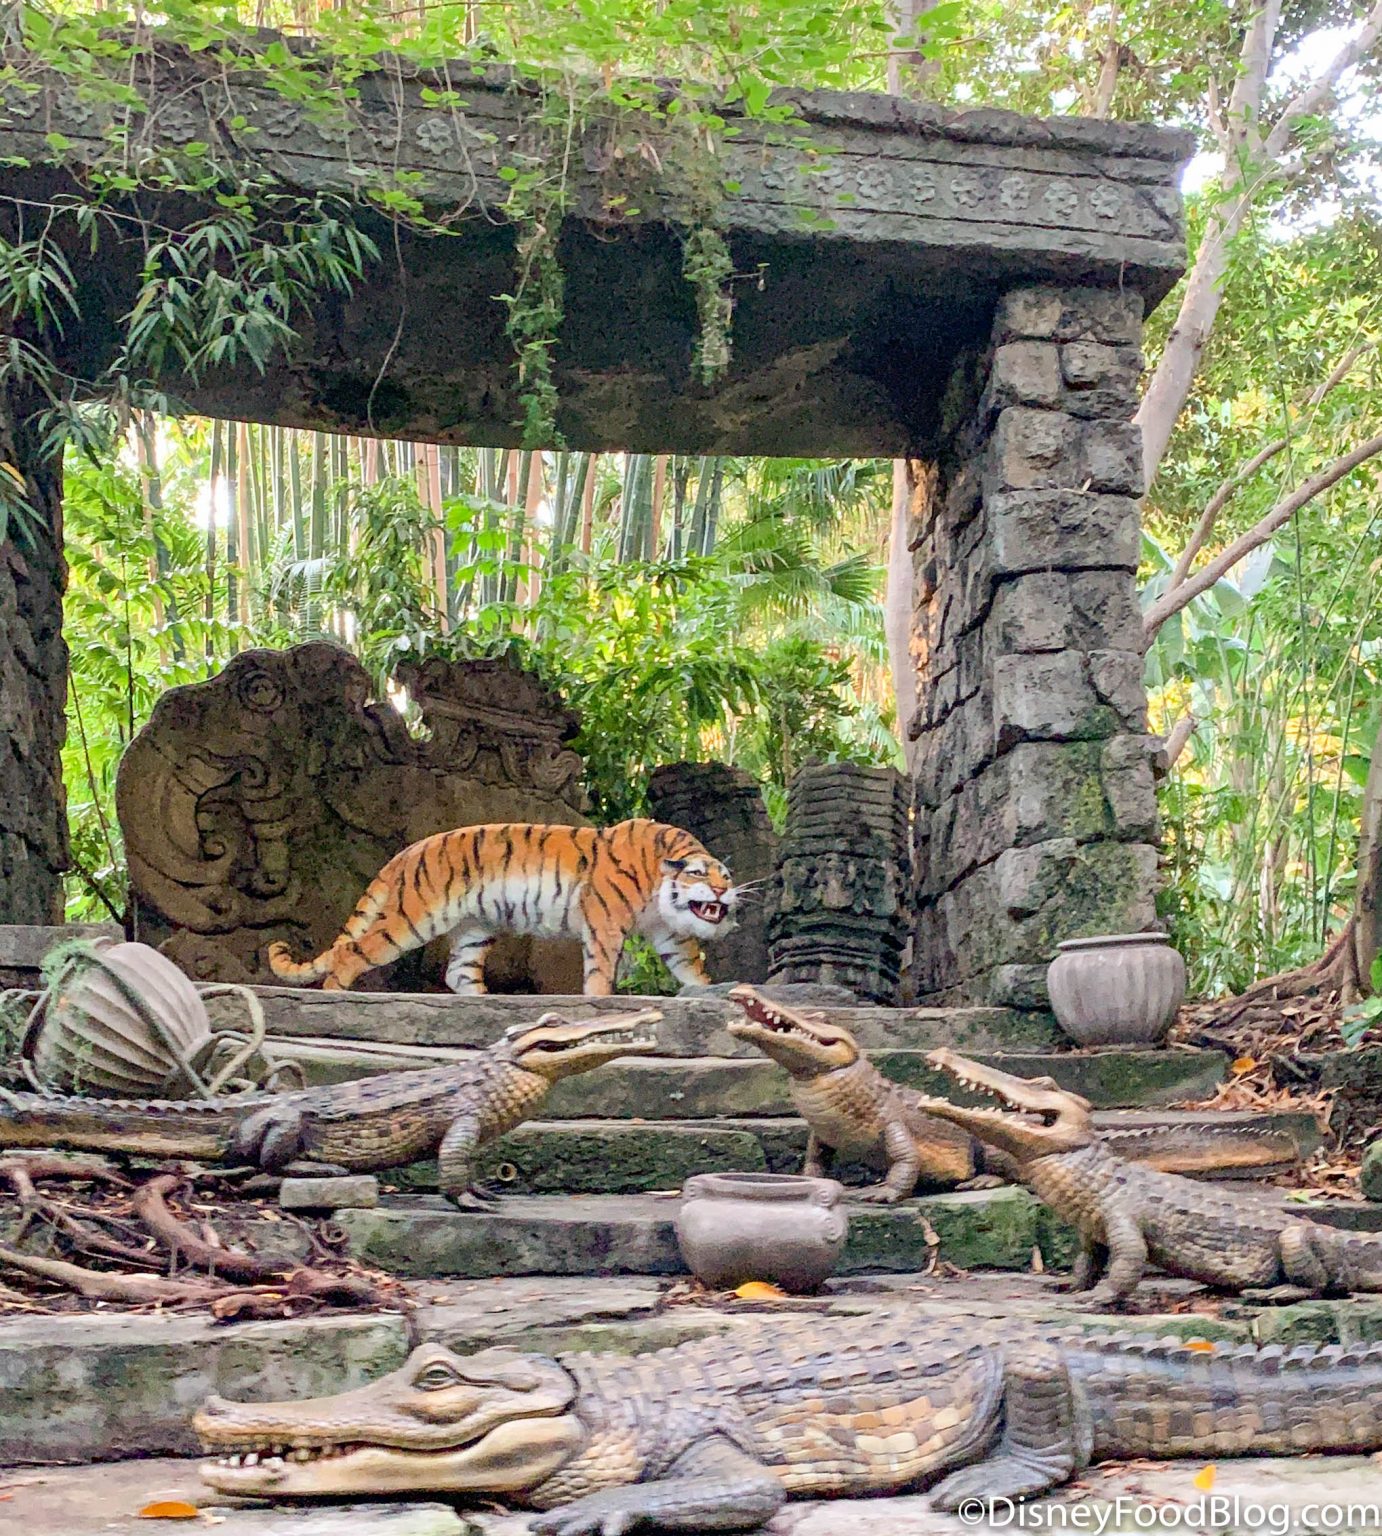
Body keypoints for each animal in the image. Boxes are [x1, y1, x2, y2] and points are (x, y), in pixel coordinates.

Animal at [265, 817, 740, 995]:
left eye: (727, 877)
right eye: (700, 875)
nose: (722, 893)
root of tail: (408, 851)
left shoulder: (671, 932)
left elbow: (688, 966)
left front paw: (707, 989)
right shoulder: (605, 923)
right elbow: (602, 971)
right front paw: (602, 999)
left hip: (475, 928)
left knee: (458, 973)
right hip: (410, 920)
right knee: (349, 953)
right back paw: (337, 996)